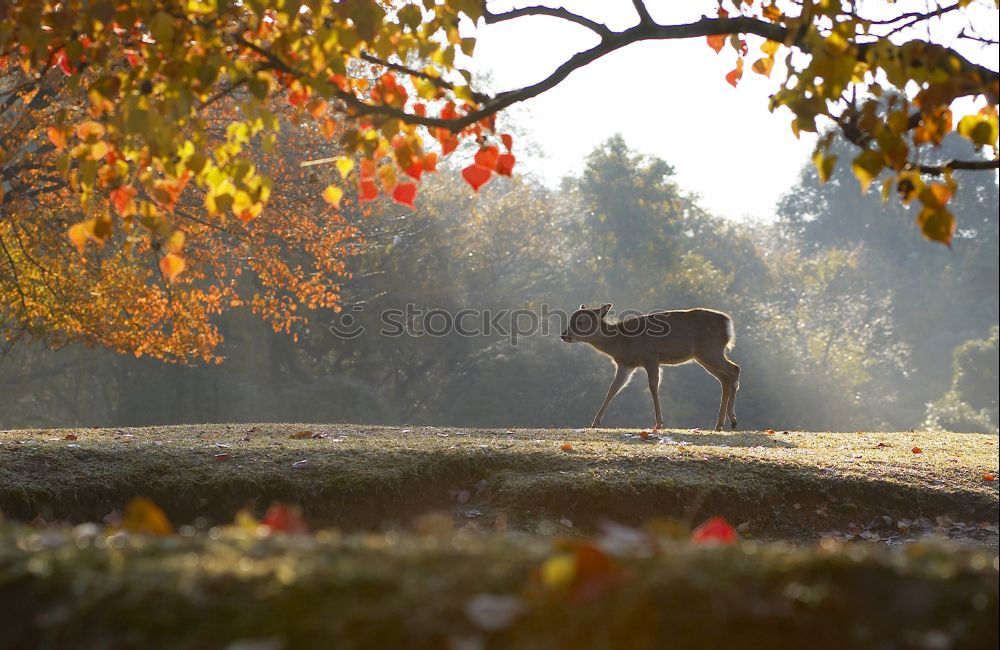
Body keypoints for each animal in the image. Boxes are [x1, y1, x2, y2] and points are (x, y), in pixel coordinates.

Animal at [568, 302, 740, 430]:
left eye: (581, 322)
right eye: (570, 320)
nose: (564, 335)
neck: (620, 342)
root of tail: (729, 324)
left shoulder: (650, 356)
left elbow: (652, 386)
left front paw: (659, 423)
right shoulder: (626, 364)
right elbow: (613, 389)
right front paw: (595, 423)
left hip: (710, 350)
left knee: (734, 370)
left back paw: (732, 419)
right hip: (703, 356)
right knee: (725, 378)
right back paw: (719, 424)